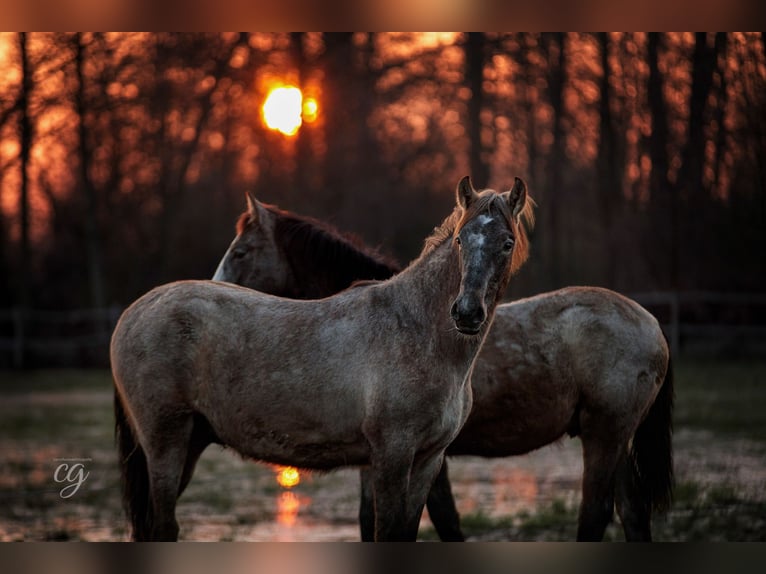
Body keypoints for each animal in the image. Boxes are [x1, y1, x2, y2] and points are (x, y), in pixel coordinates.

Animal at [213, 191, 676, 544]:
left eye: (241, 251)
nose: (212, 288)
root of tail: (652, 322)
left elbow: (434, 520)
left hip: (605, 434)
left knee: (596, 514)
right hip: (614, 439)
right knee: (632, 513)